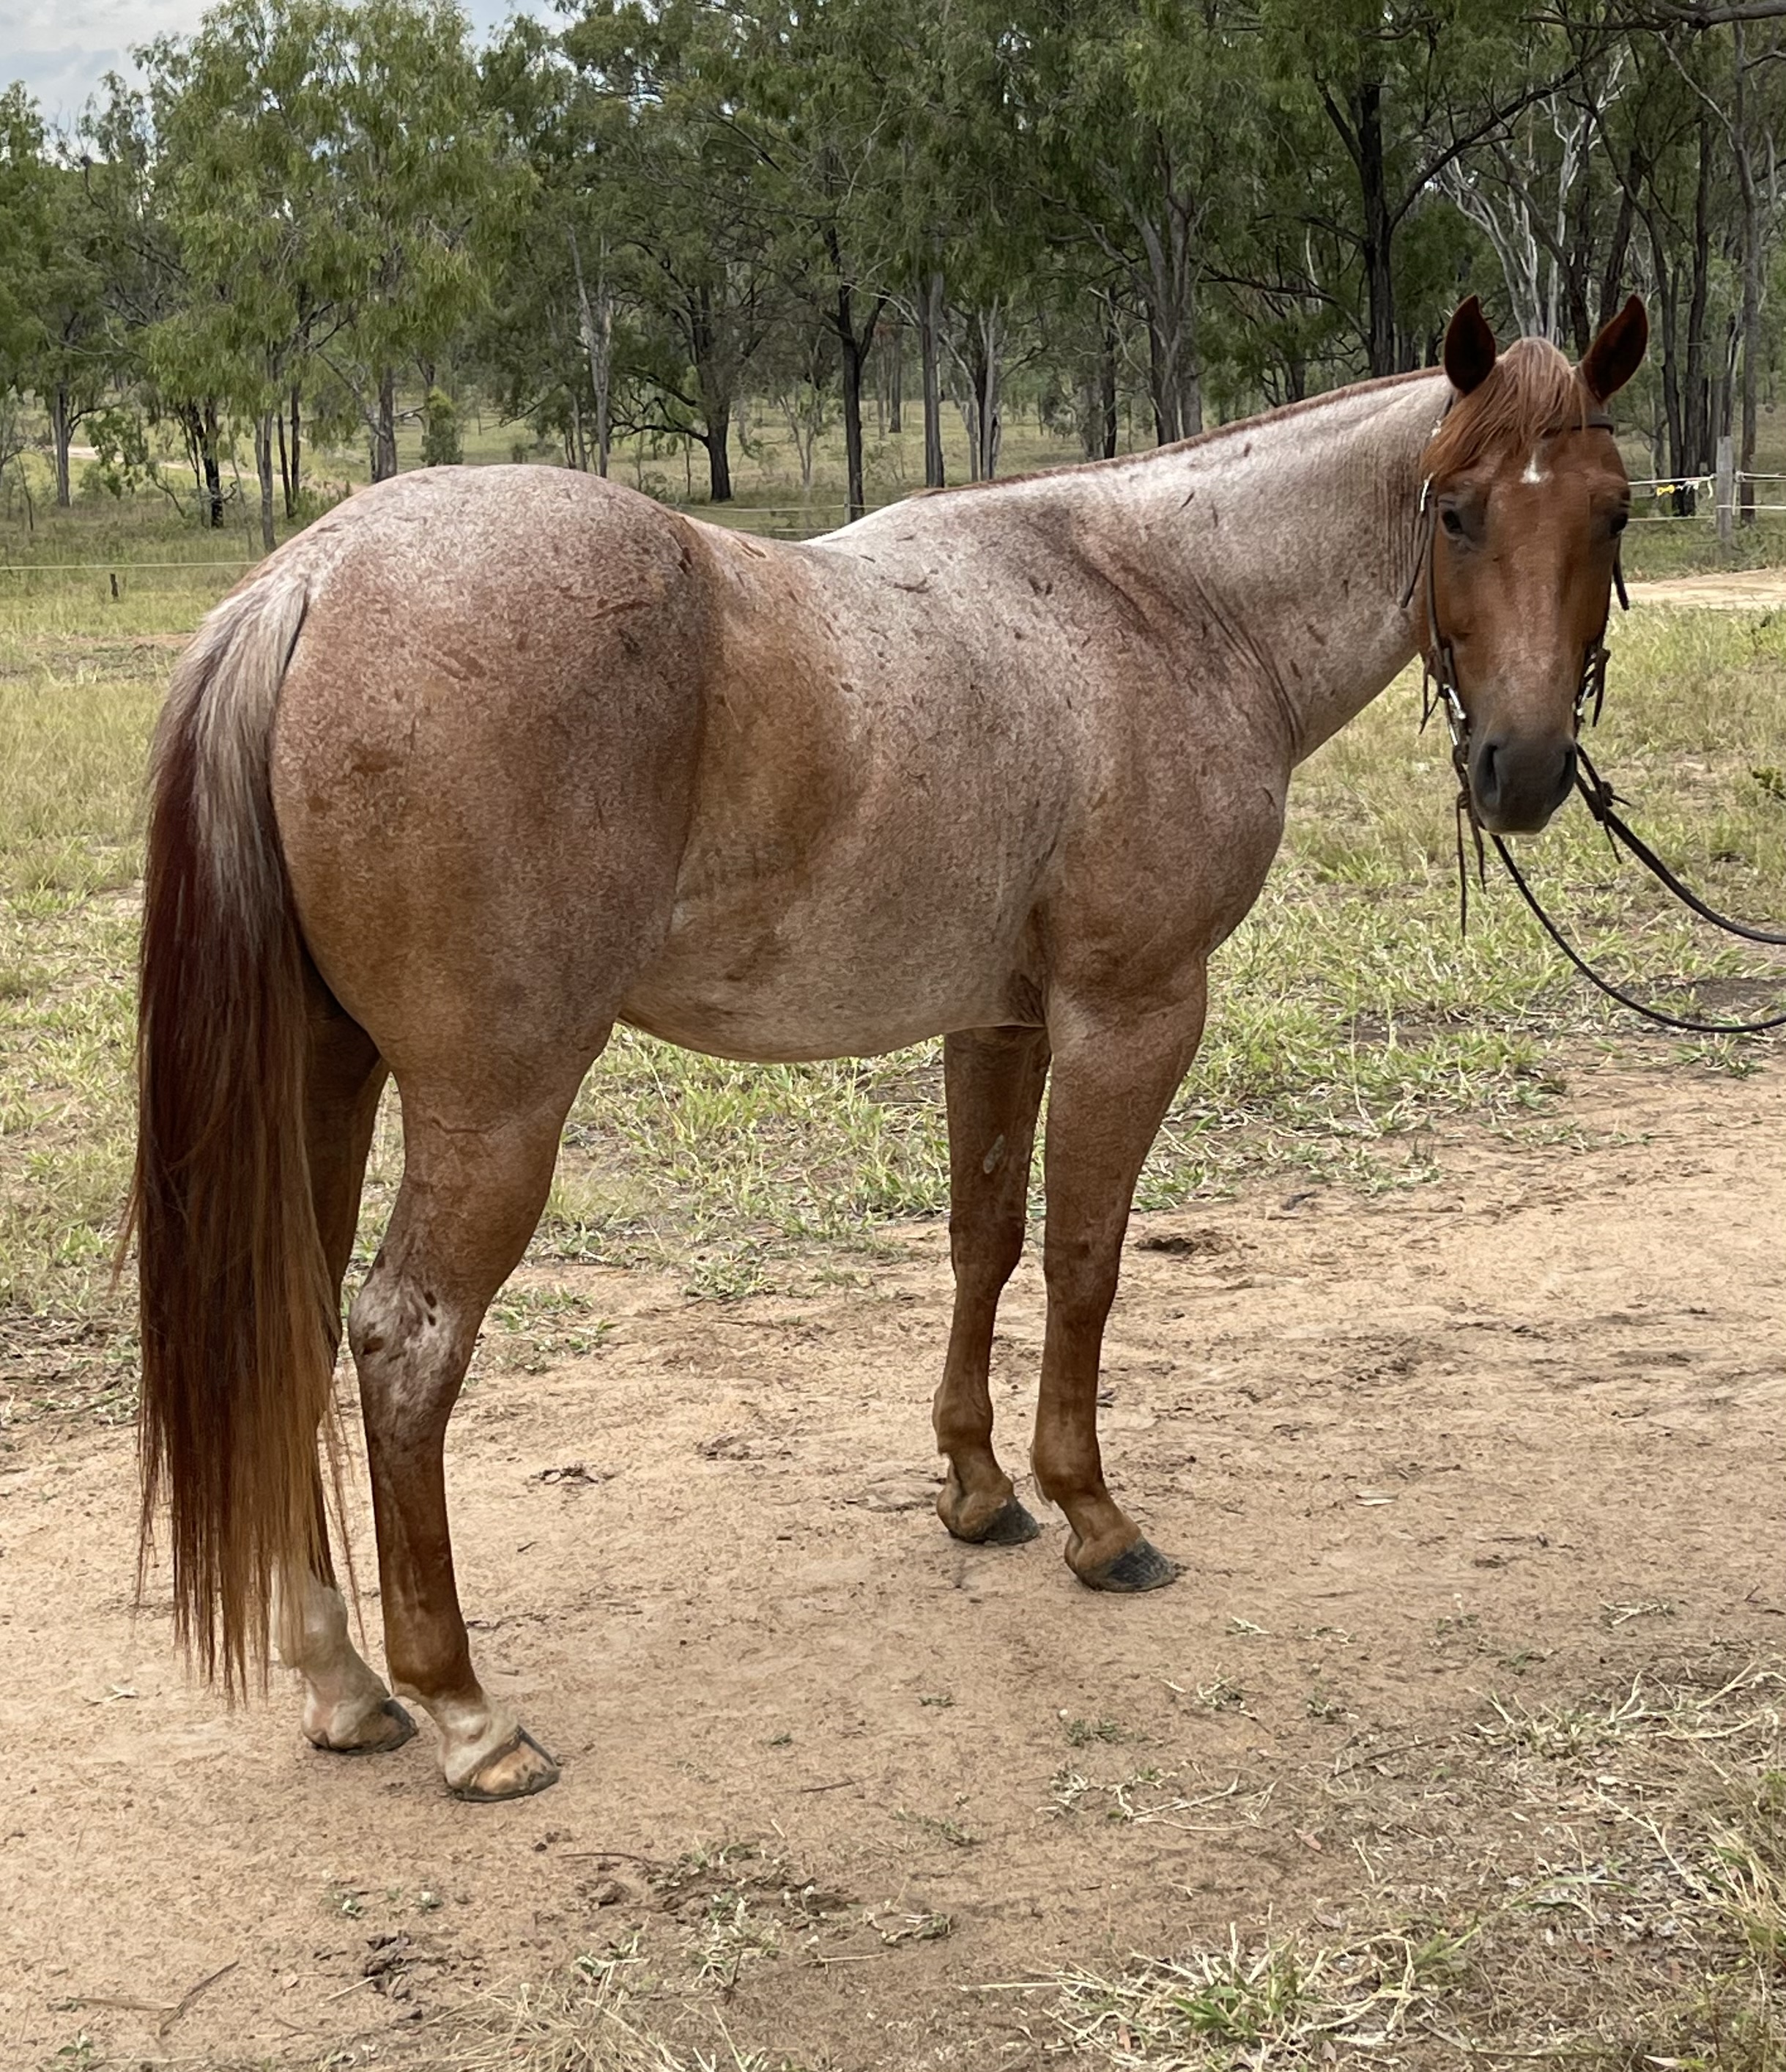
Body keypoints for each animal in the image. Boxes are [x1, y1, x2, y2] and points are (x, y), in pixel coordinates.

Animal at [130, 293, 1648, 1802]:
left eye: (1612, 510)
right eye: (1451, 511)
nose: (1520, 769)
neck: (1160, 603)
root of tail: (314, 578)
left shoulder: (1000, 1019)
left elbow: (985, 1240)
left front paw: (977, 1488)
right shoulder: (1131, 1012)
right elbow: (1086, 1258)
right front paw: (1094, 1514)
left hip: (328, 1080)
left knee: (292, 1322)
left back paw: (342, 1681)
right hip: (493, 1114)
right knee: (404, 1346)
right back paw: (461, 1709)